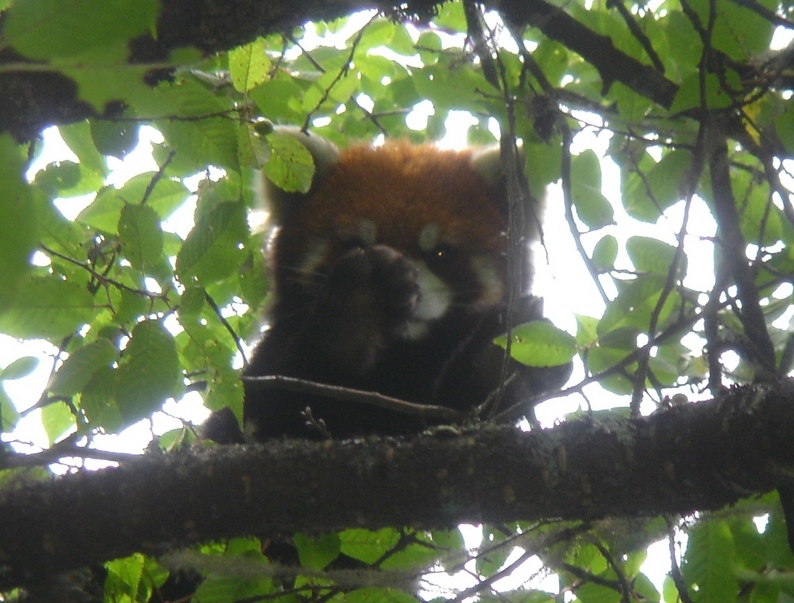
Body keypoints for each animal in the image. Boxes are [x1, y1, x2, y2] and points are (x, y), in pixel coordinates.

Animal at [203, 130, 564, 442]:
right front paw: (354, 311)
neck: (397, 360)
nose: (413, 291)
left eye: (440, 253)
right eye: (356, 244)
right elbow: (255, 415)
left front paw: (492, 359)